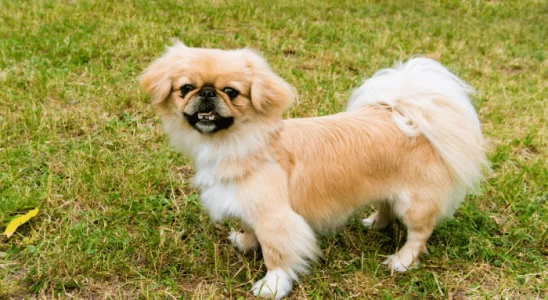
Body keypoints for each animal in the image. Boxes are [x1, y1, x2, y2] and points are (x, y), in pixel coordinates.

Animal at [141, 41, 488, 298]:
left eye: (231, 92)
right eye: (186, 87)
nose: (207, 93)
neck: (241, 143)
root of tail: (408, 114)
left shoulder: (276, 216)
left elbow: (277, 253)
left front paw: (271, 286)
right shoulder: (249, 204)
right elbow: (252, 228)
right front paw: (246, 241)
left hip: (414, 203)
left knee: (419, 233)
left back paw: (401, 261)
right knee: (385, 206)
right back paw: (375, 224)